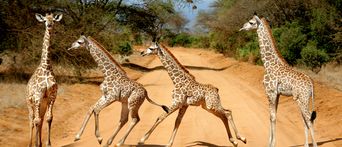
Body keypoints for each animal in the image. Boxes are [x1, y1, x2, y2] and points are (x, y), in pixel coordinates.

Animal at [26, 12, 62, 147]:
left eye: (54, 20)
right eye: (45, 20)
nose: (49, 25)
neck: (46, 67)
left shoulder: (51, 96)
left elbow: (48, 118)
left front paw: (47, 143)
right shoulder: (37, 96)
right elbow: (36, 121)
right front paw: (36, 144)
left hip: (42, 104)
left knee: (40, 120)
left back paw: (39, 143)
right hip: (30, 103)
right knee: (32, 120)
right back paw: (30, 144)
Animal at [239, 14, 316, 147]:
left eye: (251, 22)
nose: (242, 27)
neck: (268, 64)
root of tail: (311, 83)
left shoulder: (270, 92)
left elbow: (272, 117)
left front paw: (272, 144)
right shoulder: (277, 94)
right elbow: (272, 116)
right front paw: (270, 142)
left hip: (303, 98)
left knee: (309, 119)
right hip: (301, 99)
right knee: (305, 119)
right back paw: (306, 144)